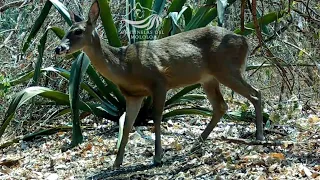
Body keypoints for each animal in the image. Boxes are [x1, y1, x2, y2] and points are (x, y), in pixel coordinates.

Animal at [55, 0, 264, 168]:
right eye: (66, 31)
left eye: (78, 31)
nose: (59, 48)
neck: (125, 67)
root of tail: (245, 40)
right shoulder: (133, 95)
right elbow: (128, 125)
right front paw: (116, 162)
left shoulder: (159, 81)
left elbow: (156, 118)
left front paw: (157, 157)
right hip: (208, 79)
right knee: (221, 106)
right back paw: (195, 144)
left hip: (227, 70)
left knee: (256, 93)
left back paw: (259, 137)